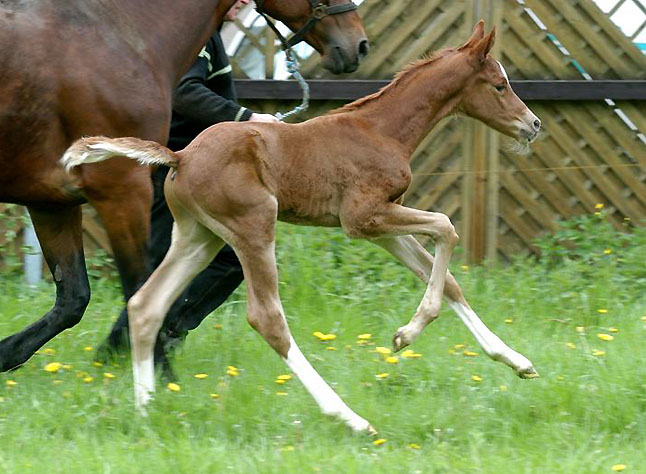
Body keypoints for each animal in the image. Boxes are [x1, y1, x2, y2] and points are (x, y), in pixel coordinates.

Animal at [0, 0, 368, 372]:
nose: (358, 45)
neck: (117, 34)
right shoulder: (122, 191)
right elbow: (140, 288)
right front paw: (161, 374)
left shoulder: (52, 203)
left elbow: (73, 298)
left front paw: (8, 353)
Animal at [64, 23, 540, 434]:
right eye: (499, 85)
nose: (533, 124)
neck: (381, 129)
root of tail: (179, 156)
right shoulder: (362, 218)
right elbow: (447, 227)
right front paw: (408, 332)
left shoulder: (381, 222)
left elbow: (443, 274)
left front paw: (514, 359)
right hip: (253, 225)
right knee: (267, 319)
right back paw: (349, 417)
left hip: (199, 237)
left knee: (146, 305)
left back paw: (145, 410)